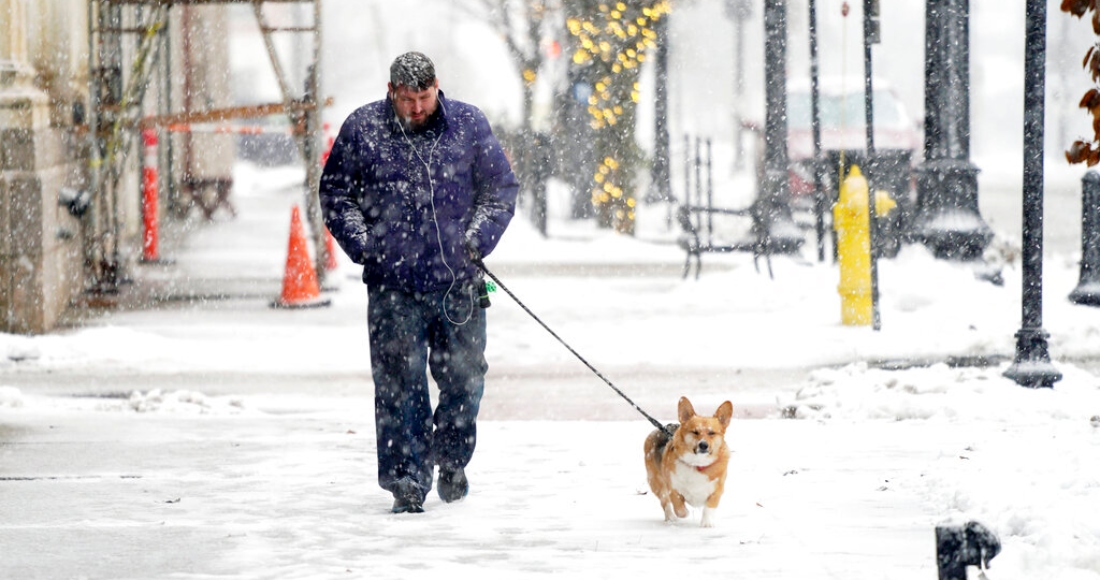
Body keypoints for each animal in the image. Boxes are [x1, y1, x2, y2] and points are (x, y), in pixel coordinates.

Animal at [642, 396, 730, 528]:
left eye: (711, 433)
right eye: (695, 432)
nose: (703, 445)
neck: (697, 463)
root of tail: (661, 428)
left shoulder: (717, 490)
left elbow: (709, 507)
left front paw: (707, 523)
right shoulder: (672, 488)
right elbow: (679, 506)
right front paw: (685, 513)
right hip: (656, 482)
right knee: (665, 502)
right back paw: (671, 518)